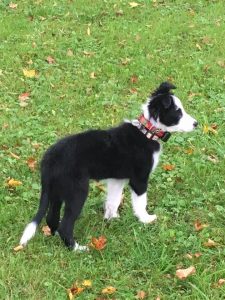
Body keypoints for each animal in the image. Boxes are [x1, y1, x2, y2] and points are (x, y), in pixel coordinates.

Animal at [19, 82, 197, 251]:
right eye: (178, 112)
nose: (197, 123)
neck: (147, 131)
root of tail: (49, 158)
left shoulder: (117, 180)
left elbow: (113, 200)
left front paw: (111, 218)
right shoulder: (139, 179)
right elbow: (140, 202)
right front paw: (146, 219)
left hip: (57, 190)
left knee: (51, 217)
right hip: (77, 190)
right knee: (66, 225)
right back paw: (77, 248)